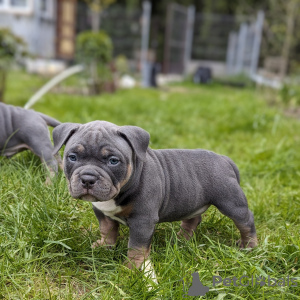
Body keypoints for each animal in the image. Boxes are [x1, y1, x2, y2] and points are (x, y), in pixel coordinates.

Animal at [52, 120, 256, 268]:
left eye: (113, 161)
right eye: (72, 157)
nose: (88, 178)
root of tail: (225, 159)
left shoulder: (142, 221)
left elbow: (136, 247)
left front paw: (132, 268)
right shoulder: (102, 212)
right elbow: (107, 229)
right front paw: (105, 246)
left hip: (231, 202)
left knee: (246, 221)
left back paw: (249, 247)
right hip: (193, 201)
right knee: (193, 219)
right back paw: (181, 239)